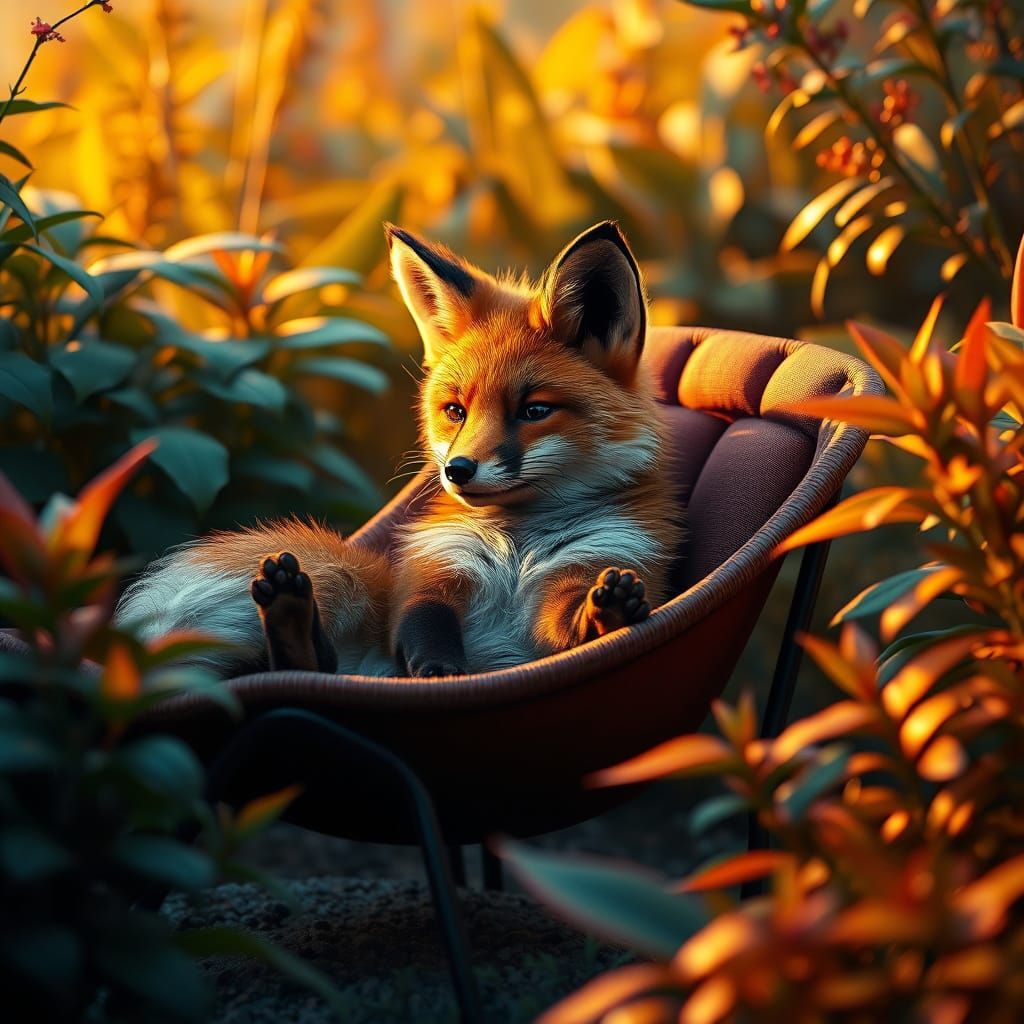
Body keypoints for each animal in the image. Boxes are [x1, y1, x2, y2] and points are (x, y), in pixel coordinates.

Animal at [116, 221, 682, 677]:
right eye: (455, 410)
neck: (517, 552)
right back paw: (290, 615)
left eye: (534, 410)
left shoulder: (597, 566)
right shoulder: (433, 571)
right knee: (305, 665)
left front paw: (608, 613)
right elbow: (421, 627)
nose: (458, 470)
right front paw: (438, 672)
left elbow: (577, 623)